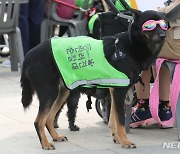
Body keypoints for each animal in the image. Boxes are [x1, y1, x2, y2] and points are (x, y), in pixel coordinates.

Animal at [20, 9, 167, 149]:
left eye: (164, 25)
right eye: (149, 25)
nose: (163, 36)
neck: (128, 48)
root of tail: (29, 53)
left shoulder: (113, 93)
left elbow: (112, 120)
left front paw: (117, 138)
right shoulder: (119, 93)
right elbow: (119, 120)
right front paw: (125, 142)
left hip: (62, 92)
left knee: (49, 118)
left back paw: (55, 137)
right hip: (50, 92)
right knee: (39, 121)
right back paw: (45, 144)